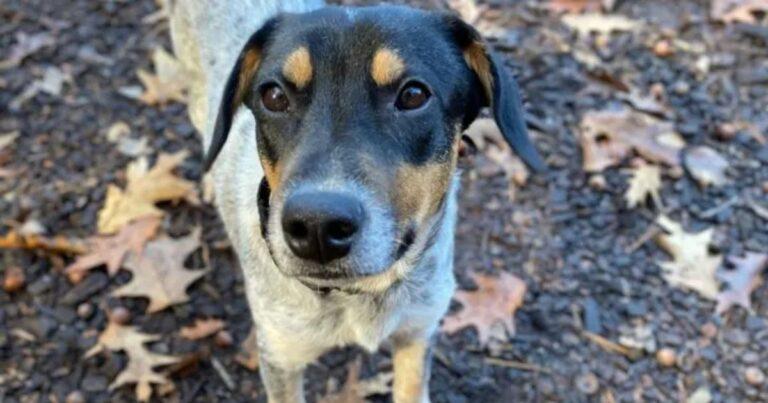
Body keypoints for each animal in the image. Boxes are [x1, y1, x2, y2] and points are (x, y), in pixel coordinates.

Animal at [170, 1, 544, 402]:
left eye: (413, 95)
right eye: (273, 96)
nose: (317, 226)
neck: (361, 293)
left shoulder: (419, 330)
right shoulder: (280, 354)